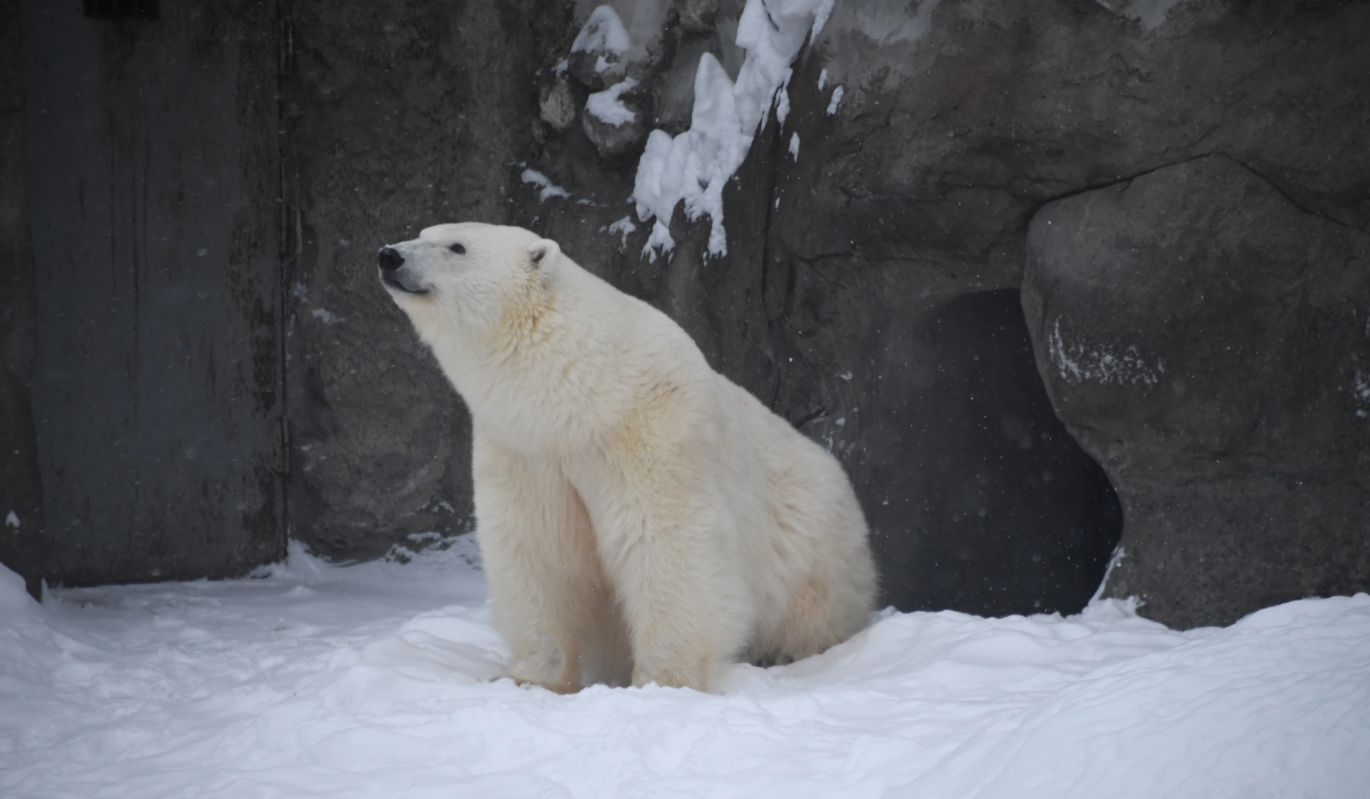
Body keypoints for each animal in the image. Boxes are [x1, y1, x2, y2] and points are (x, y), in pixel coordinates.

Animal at [378, 222, 876, 690]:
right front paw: (529, 678)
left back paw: (786, 652)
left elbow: (667, 540)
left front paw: (660, 681)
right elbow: (536, 551)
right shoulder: (525, 449)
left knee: (813, 607)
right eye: (422, 233)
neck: (583, 394)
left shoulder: (650, 428)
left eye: (457, 246)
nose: (389, 255)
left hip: (814, 544)